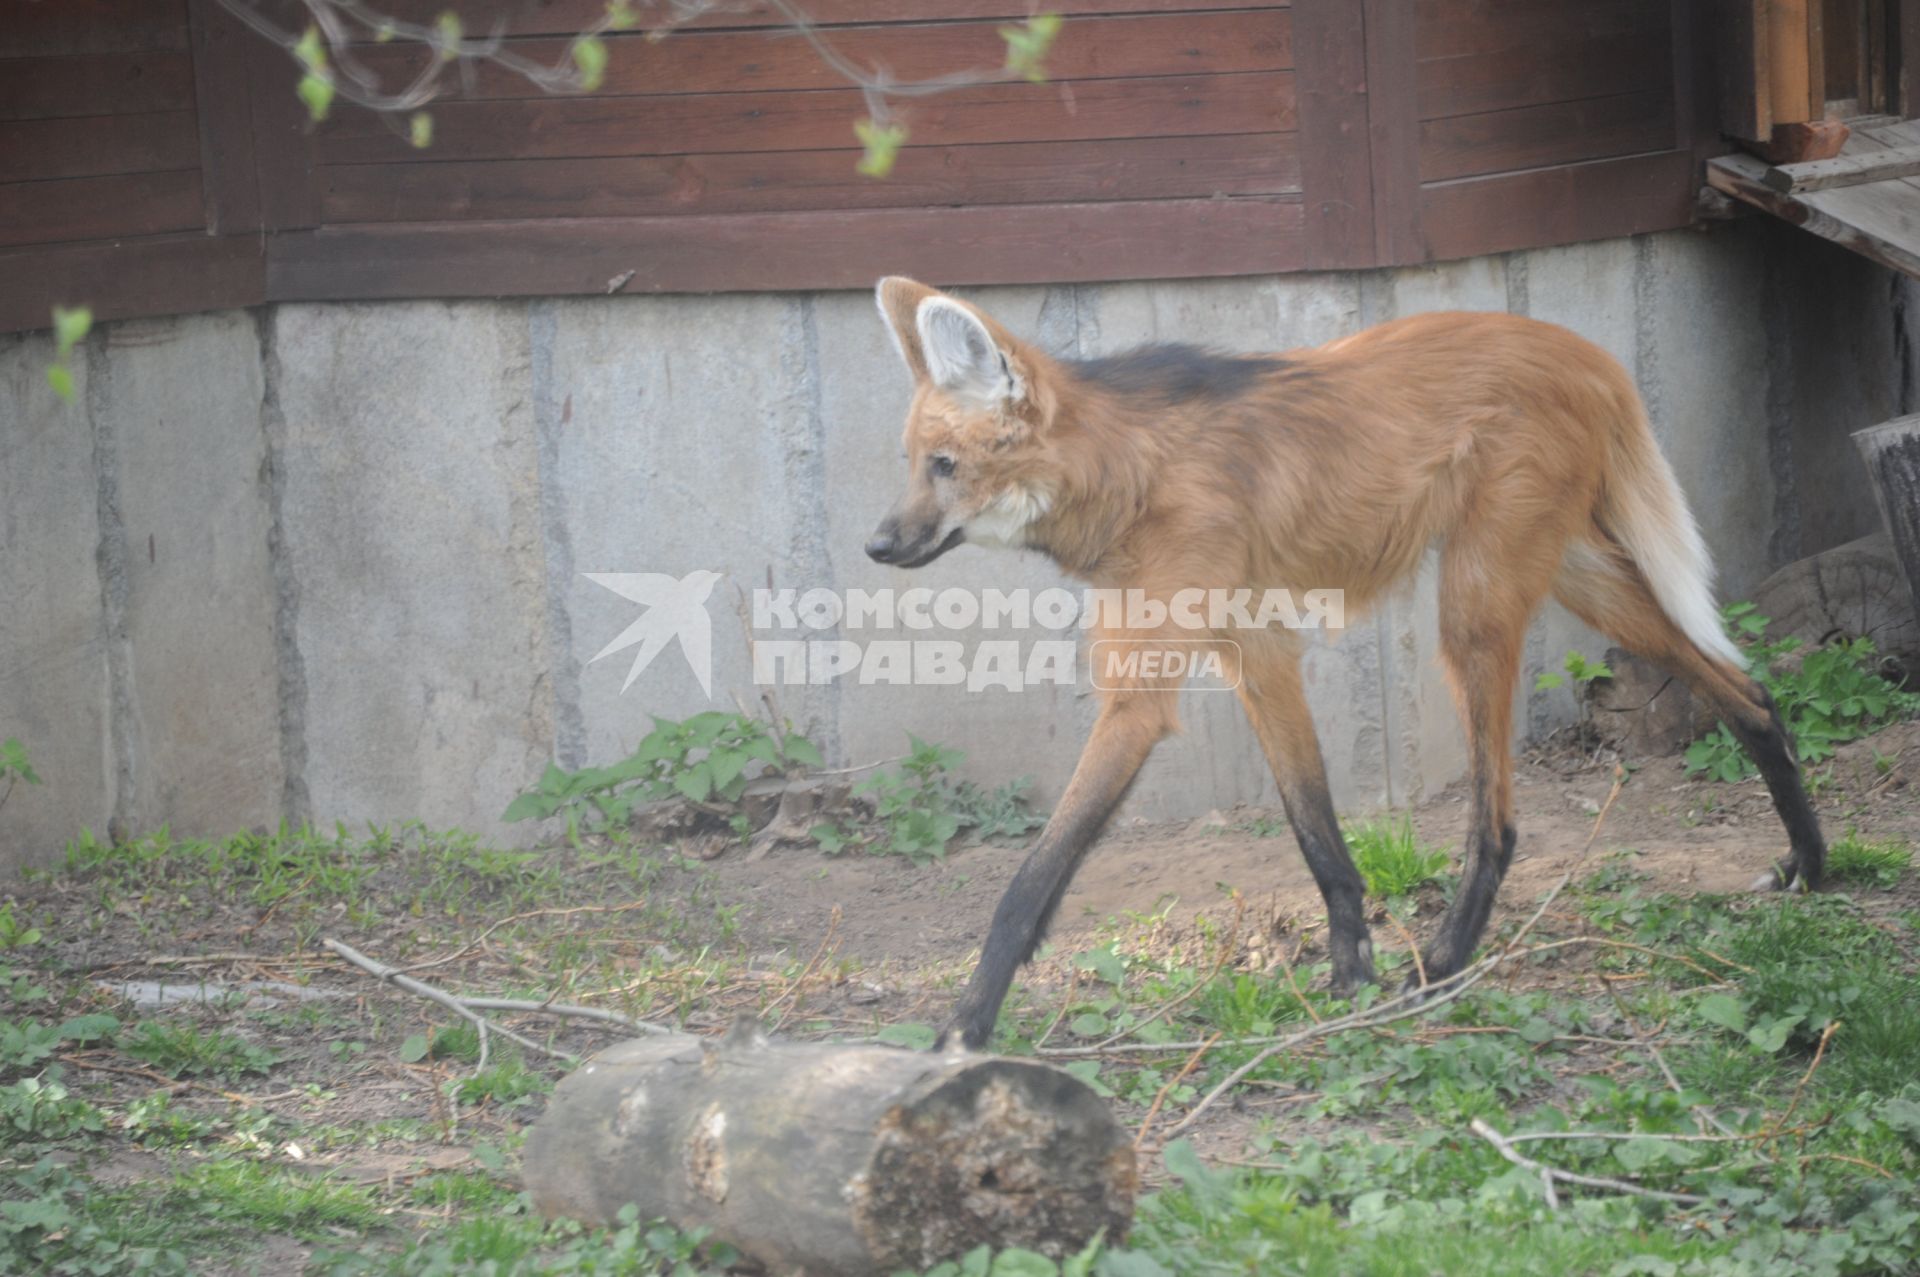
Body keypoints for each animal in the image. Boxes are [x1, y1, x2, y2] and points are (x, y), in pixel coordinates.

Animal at [864, 276, 1820, 1044]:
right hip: (1575, 573)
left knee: (1500, 819)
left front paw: (963, 1027)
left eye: (944, 465)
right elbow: (1314, 826)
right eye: (910, 464)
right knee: (1748, 692)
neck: (1129, 471)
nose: (876, 544)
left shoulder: (1146, 695)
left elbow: (1031, 879)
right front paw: (1349, 970)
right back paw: (1810, 866)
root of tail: (1590, 352)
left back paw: (1442, 962)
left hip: (1474, 605)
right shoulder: (1255, 648)